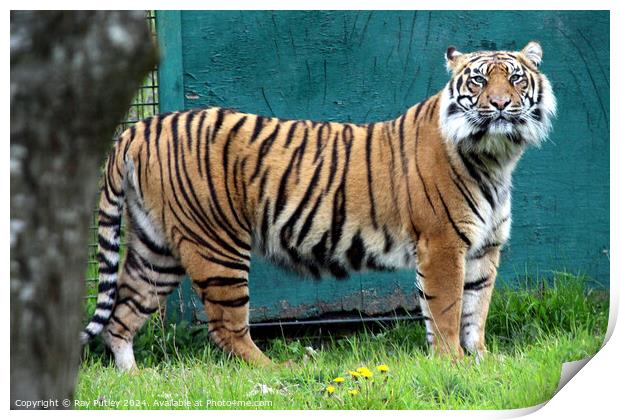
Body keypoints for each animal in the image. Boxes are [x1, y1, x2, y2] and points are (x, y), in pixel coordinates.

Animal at [81, 41, 556, 370]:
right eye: (478, 81)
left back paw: (134, 377)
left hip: (156, 248)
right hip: (216, 247)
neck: (496, 157)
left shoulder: (483, 248)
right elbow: (446, 309)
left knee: (122, 314)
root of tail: (138, 128)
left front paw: (481, 359)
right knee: (226, 328)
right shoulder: (442, 244)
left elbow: (476, 309)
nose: (500, 105)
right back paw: (279, 369)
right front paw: (452, 362)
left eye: (515, 79)